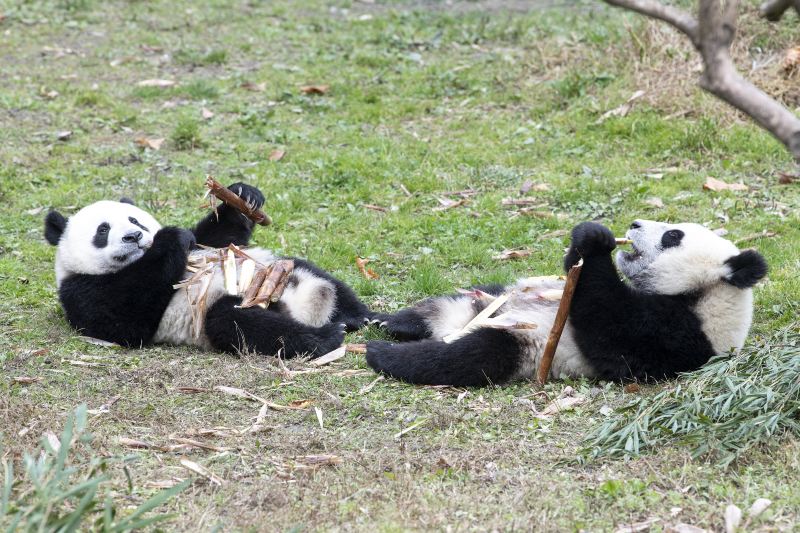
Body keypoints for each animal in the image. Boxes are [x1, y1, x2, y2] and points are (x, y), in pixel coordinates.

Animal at [47, 183, 376, 358]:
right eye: (102, 231)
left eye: (135, 220)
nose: (134, 236)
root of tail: (306, 306)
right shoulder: (82, 289)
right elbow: (126, 324)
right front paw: (169, 239)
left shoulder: (205, 246)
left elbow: (218, 238)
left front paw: (241, 195)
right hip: (226, 311)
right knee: (239, 324)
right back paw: (326, 337)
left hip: (281, 269)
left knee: (323, 279)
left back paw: (365, 318)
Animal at [364, 220, 768, 386]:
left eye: (672, 235)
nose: (635, 224)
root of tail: (453, 328)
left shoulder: (676, 335)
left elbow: (607, 325)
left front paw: (597, 241)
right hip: (491, 301)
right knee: (449, 303)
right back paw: (393, 323)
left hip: (523, 342)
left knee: (466, 357)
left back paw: (383, 353)